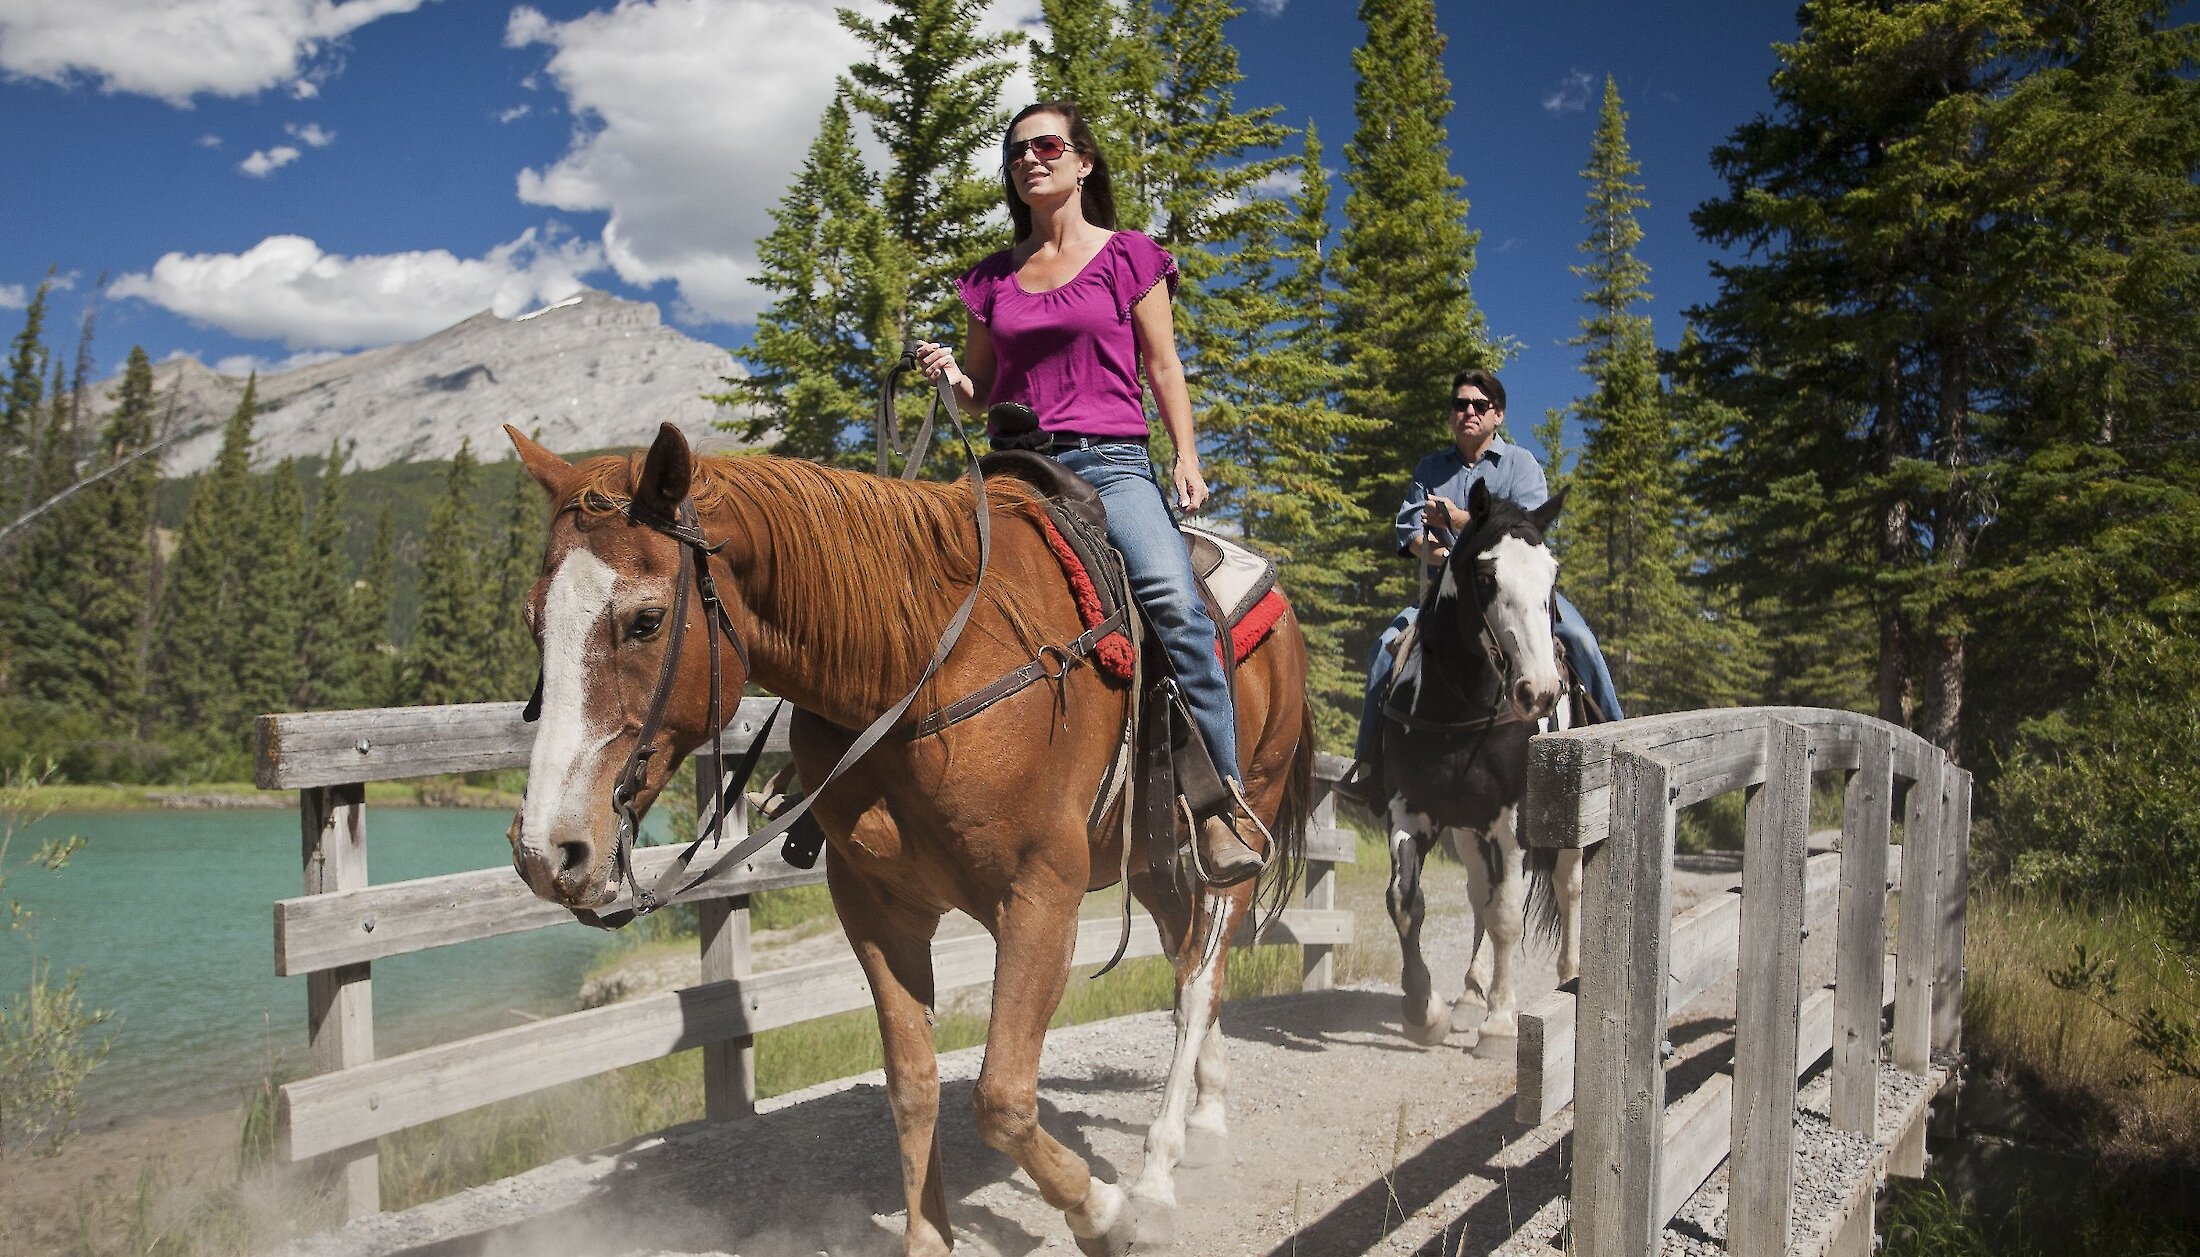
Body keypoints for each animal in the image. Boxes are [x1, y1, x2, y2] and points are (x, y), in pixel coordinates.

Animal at [506, 424, 1311, 1257]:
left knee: (1201, 977)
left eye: (645, 620)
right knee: (1186, 962)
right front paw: (929, 1235)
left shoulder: (1041, 896)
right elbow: (913, 1080)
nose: (548, 850)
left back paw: (1156, 1174)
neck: (925, 668)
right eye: (534, 620)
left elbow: (1002, 1098)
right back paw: (1206, 1114)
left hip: (1239, 824)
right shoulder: (875, 907)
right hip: (1151, 856)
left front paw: (1108, 1214)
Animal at [1372, 482, 1584, 1052]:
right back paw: (1470, 994)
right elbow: (1405, 902)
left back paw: (1568, 975)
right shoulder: (1411, 811)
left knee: (1565, 888)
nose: (1539, 692)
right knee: (1478, 896)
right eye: (1486, 575)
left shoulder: (1514, 821)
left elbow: (1508, 916)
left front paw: (1500, 1023)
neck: (1460, 707)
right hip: (1469, 832)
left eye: (1553, 574)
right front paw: (1424, 1012)